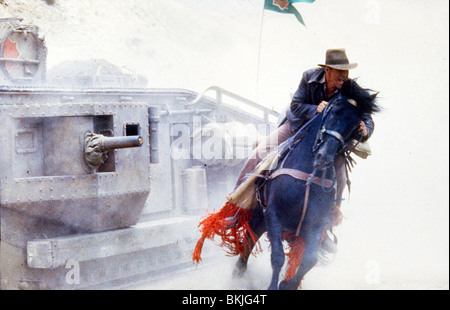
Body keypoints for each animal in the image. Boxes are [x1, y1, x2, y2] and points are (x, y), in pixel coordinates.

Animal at [232, 80, 380, 290]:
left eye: (355, 125)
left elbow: (309, 259)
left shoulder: (316, 224)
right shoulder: (273, 213)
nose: (324, 156)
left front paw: (287, 284)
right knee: (249, 239)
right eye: (333, 110)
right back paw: (237, 274)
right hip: (258, 214)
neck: (307, 177)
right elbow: (277, 257)